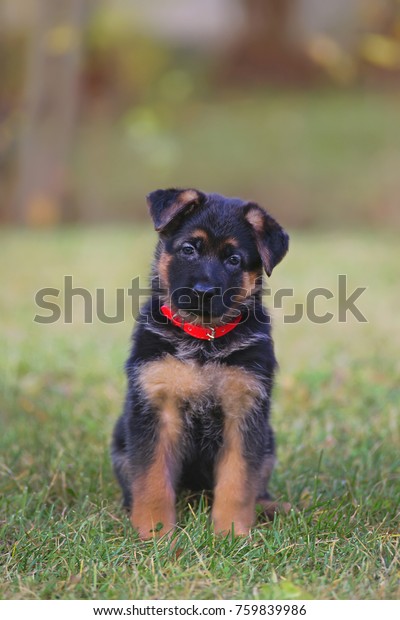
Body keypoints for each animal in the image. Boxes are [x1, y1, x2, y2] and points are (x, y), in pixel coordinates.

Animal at [111, 188, 290, 536]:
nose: (204, 292)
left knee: (257, 487)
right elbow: (152, 479)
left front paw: (232, 532)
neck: (204, 341)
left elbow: (238, 480)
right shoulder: (157, 408)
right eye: (189, 249)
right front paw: (155, 532)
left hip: (268, 442)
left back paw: (271, 507)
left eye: (234, 260)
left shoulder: (243, 410)